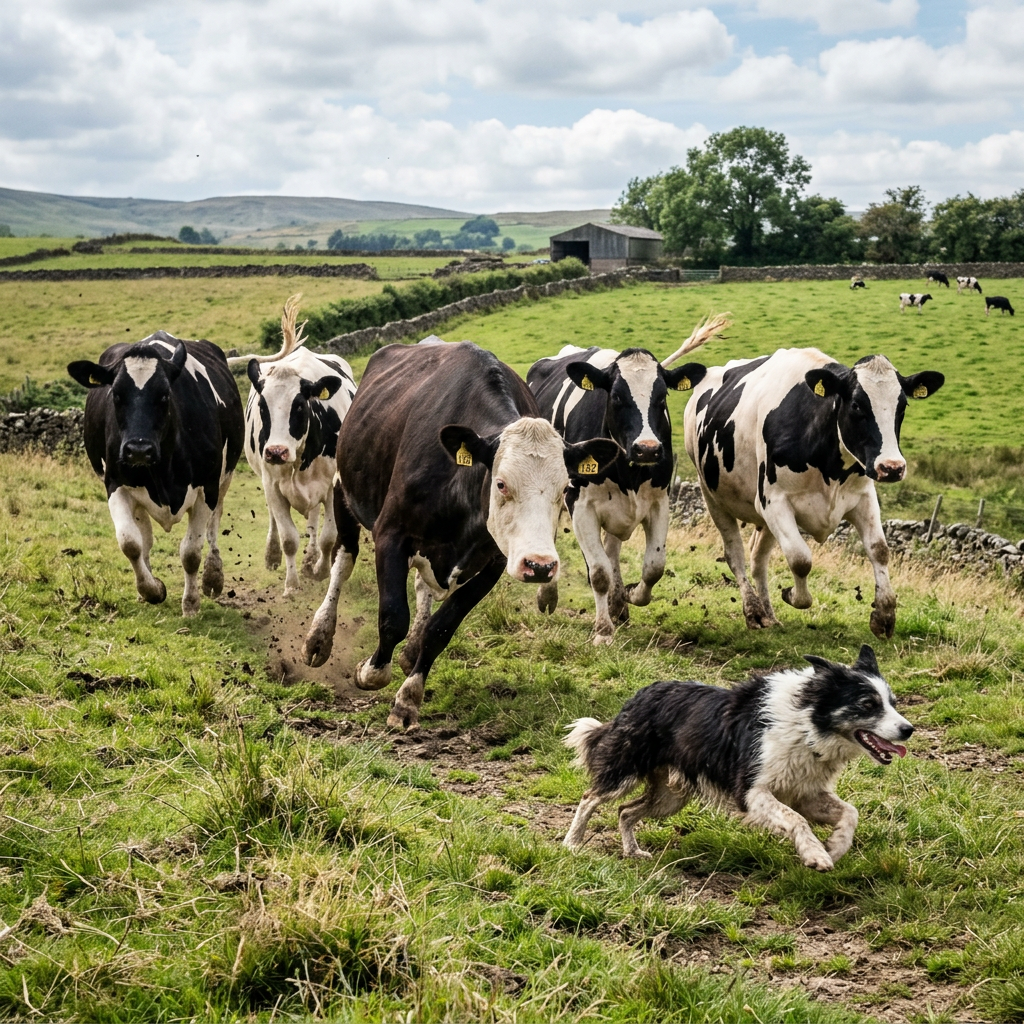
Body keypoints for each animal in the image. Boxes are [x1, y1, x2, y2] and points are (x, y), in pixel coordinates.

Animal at [67, 332, 244, 616]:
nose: (138, 449)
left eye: (164, 395)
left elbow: (191, 552)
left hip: (225, 477)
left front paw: (191, 604)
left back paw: (213, 576)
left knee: (214, 523)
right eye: (116, 395)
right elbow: (130, 543)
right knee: (145, 538)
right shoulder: (116, 484)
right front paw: (152, 590)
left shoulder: (207, 488)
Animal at [228, 295, 357, 595]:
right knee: (278, 521)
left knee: (314, 519)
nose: (276, 451)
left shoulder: (332, 486)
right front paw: (291, 585)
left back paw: (312, 559)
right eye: (262, 406)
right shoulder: (273, 485)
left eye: (299, 405)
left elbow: (329, 536)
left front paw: (320, 569)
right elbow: (289, 538)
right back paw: (273, 555)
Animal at [302, 341, 619, 731]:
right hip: (343, 490)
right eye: (501, 484)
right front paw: (370, 671)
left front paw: (408, 697)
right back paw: (319, 638)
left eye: (565, 488)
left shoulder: (494, 563)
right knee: (342, 563)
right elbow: (393, 616)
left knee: (422, 587)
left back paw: (410, 650)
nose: (541, 566)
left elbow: (442, 628)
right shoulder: (391, 535)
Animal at [526, 314, 728, 643]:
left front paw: (630, 595)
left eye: (662, 397)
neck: (627, 471)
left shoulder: (659, 501)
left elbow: (654, 566)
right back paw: (549, 597)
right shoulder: (580, 504)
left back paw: (618, 603)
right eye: (617, 396)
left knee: (612, 551)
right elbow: (598, 572)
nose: (647, 448)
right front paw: (602, 631)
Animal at [685, 348, 944, 638]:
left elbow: (879, 550)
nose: (892, 467)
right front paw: (791, 595)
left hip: (764, 521)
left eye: (903, 406)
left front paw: (884, 615)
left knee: (758, 559)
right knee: (736, 555)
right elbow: (800, 559)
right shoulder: (774, 501)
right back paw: (753, 612)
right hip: (713, 497)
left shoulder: (864, 498)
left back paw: (768, 615)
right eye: (856, 405)